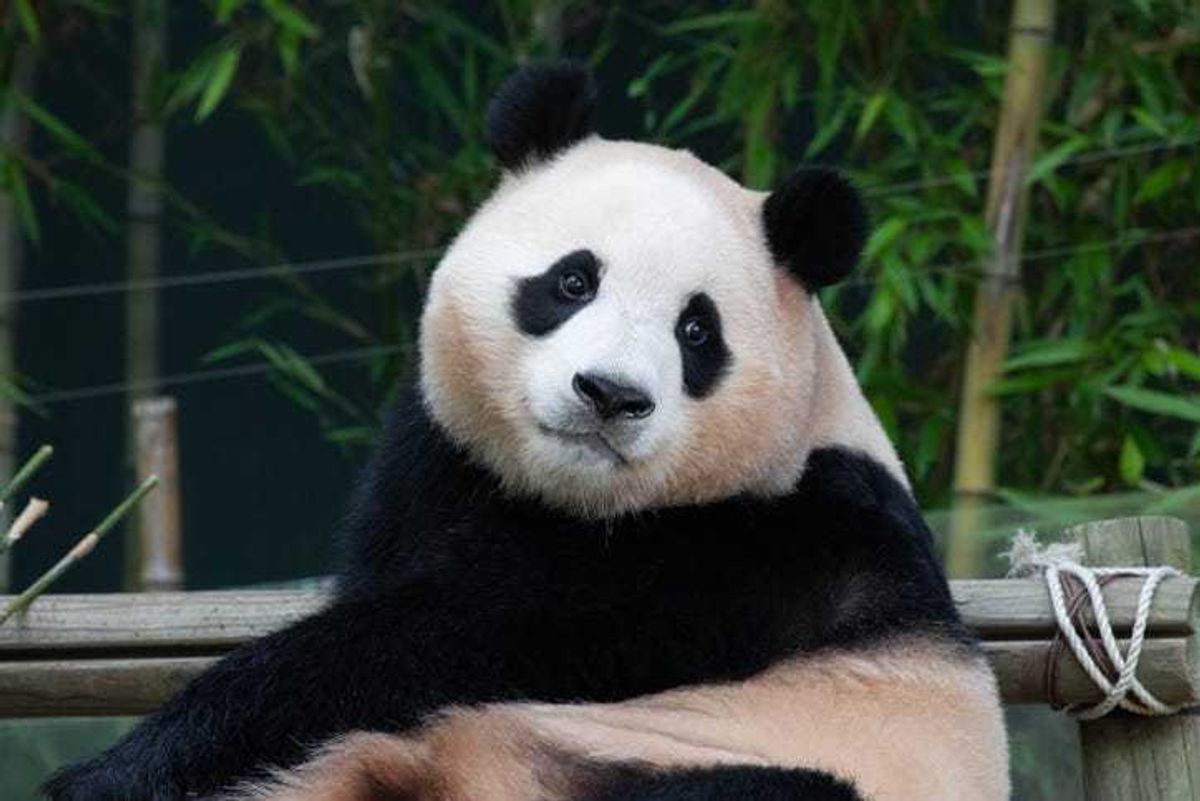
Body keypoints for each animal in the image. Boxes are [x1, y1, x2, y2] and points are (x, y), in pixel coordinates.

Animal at [45, 63, 1008, 801]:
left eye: (697, 331)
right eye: (573, 280)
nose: (610, 393)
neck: (575, 500)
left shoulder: (762, 552)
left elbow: (435, 644)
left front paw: (115, 772)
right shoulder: (439, 461)